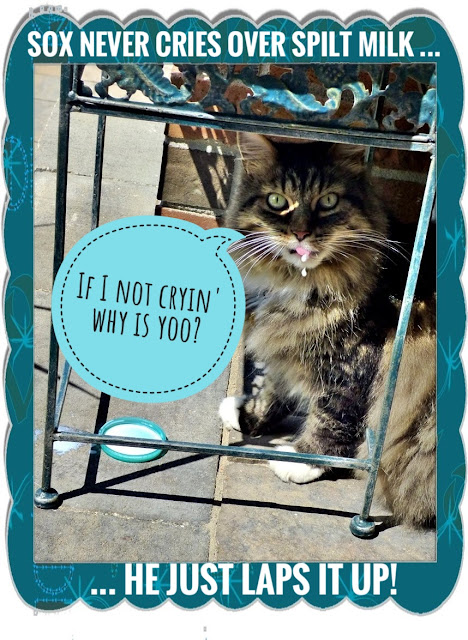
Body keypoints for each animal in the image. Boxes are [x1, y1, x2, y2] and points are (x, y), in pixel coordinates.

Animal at [219, 132, 436, 528]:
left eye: (328, 201)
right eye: (277, 201)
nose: (301, 232)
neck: (298, 284)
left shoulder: (354, 362)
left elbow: (332, 416)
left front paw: (303, 461)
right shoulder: (288, 344)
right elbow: (272, 386)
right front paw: (248, 415)